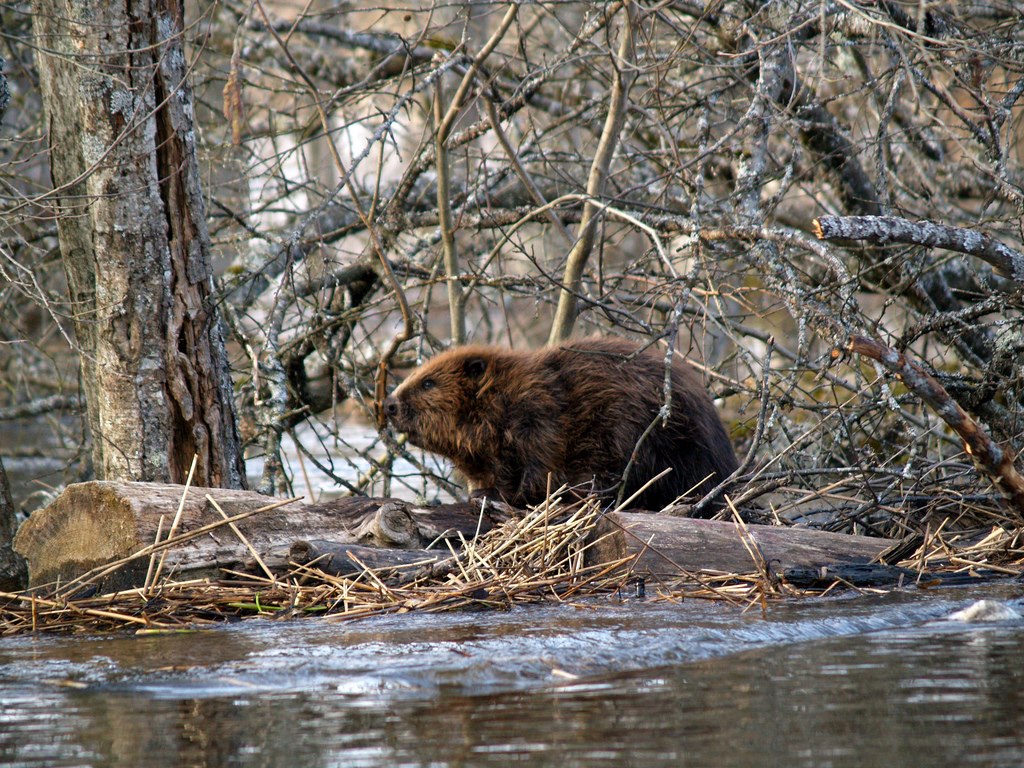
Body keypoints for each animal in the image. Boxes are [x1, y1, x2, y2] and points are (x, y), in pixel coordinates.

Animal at [385, 339, 737, 514]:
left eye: (428, 382)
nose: (389, 404)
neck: (506, 393)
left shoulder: (538, 415)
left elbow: (538, 466)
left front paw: (498, 496)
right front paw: (477, 493)